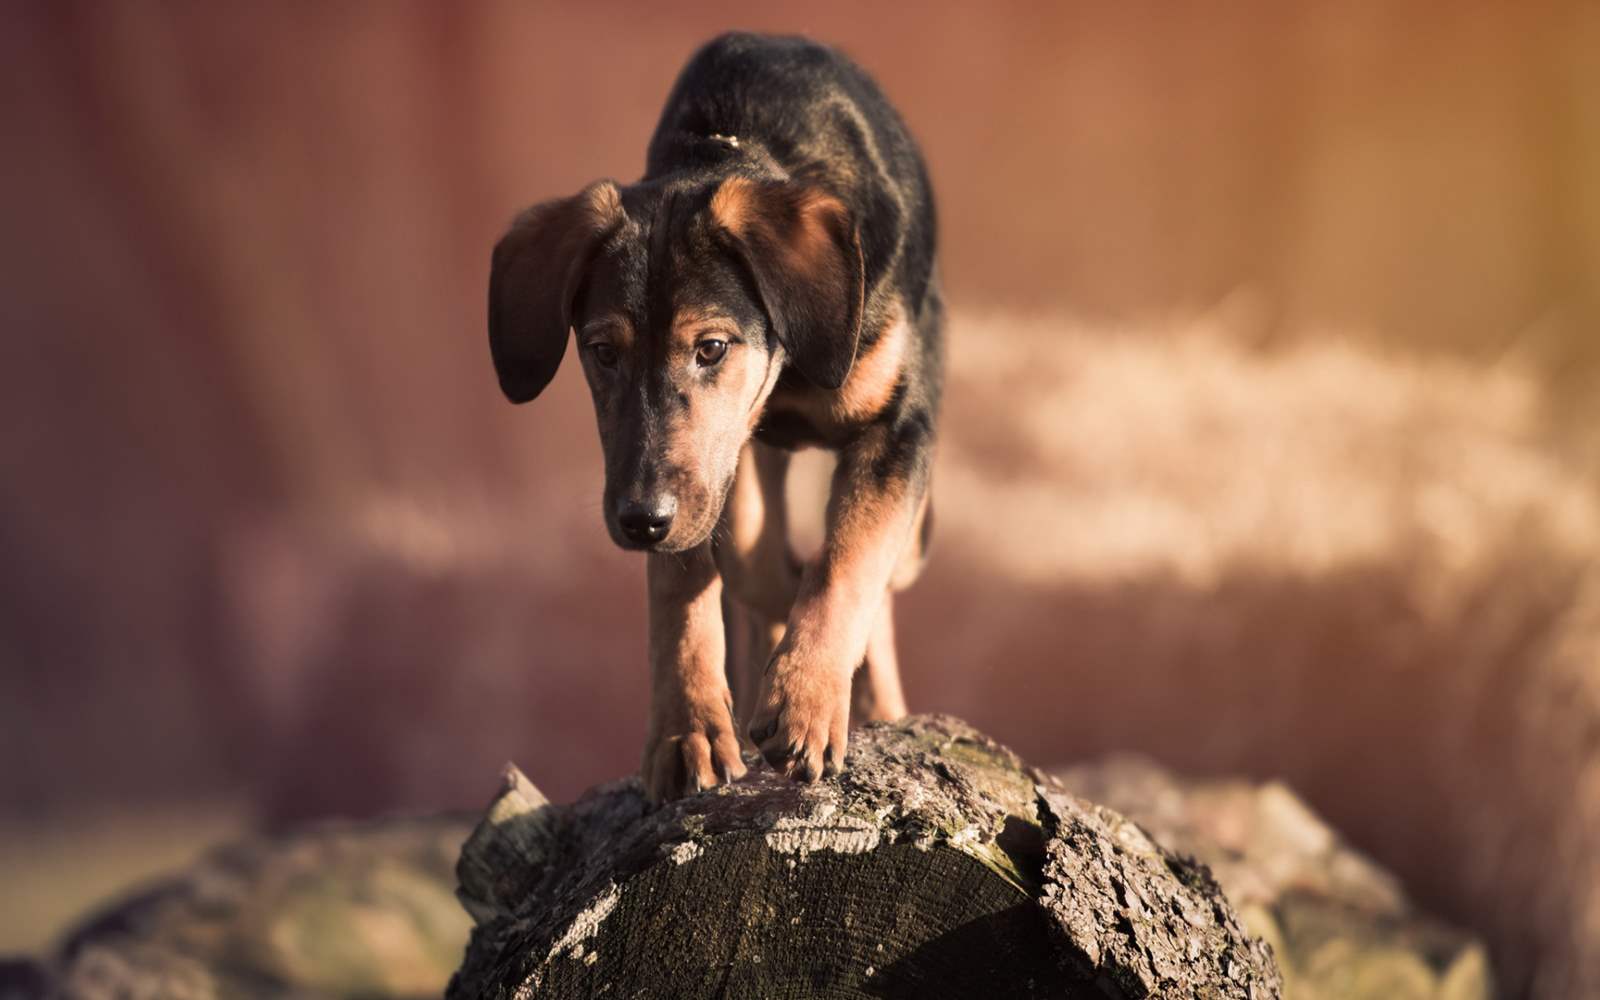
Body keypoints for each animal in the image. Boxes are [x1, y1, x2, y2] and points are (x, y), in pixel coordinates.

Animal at [486, 31, 934, 800]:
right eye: (601, 352)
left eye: (712, 347)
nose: (640, 522)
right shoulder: (683, 474)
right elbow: (689, 581)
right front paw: (686, 730)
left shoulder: (898, 425)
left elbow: (849, 557)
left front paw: (805, 700)